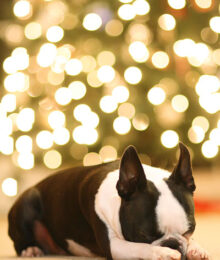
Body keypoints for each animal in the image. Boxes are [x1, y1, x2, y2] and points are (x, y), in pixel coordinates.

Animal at [8, 143, 209, 258]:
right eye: (144, 235)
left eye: (189, 231)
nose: (173, 245)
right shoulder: (113, 246)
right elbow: (139, 248)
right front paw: (161, 252)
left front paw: (196, 248)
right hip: (28, 202)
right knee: (20, 242)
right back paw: (31, 250)